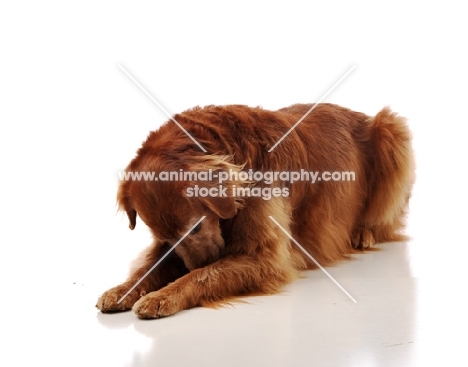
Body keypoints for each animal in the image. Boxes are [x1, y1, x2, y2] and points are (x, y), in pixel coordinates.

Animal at [95, 103, 414, 320]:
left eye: (196, 227)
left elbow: (205, 276)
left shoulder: (266, 259)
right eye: (167, 238)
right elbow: (149, 267)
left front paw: (164, 294)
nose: (193, 264)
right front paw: (123, 289)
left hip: (393, 131)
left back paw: (363, 233)